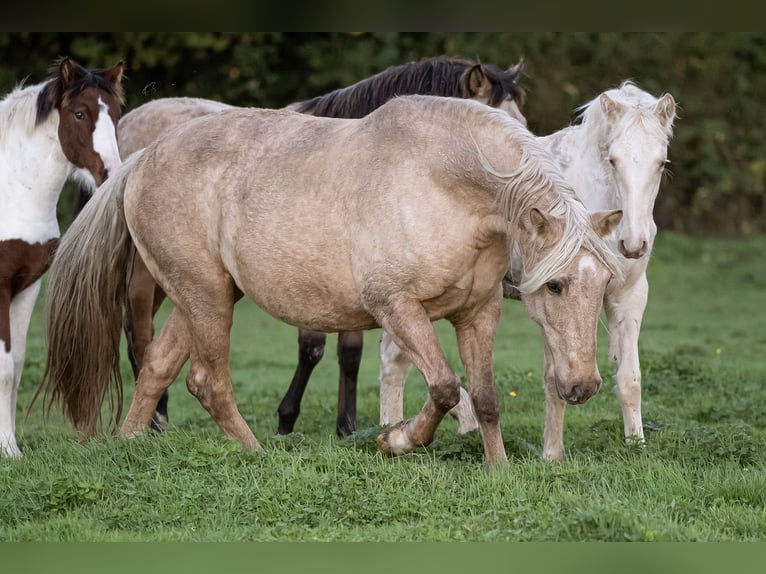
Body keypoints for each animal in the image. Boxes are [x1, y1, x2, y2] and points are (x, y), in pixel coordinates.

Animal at [0, 57, 123, 460]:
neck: (12, 192)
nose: (110, 174)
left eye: (117, 112)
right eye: (80, 113)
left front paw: (9, 445)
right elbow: (4, 369)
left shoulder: (26, 288)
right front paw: (8, 450)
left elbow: (17, 366)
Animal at [380, 81, 680, 462]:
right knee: (394, 359)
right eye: (612, 160)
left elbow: (629, 378)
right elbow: (555, 378)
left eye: (661, 163)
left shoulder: (628, 295)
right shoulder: (548, 301)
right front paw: (552, 454)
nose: (634, 243)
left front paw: (636, 446)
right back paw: (390, 430)